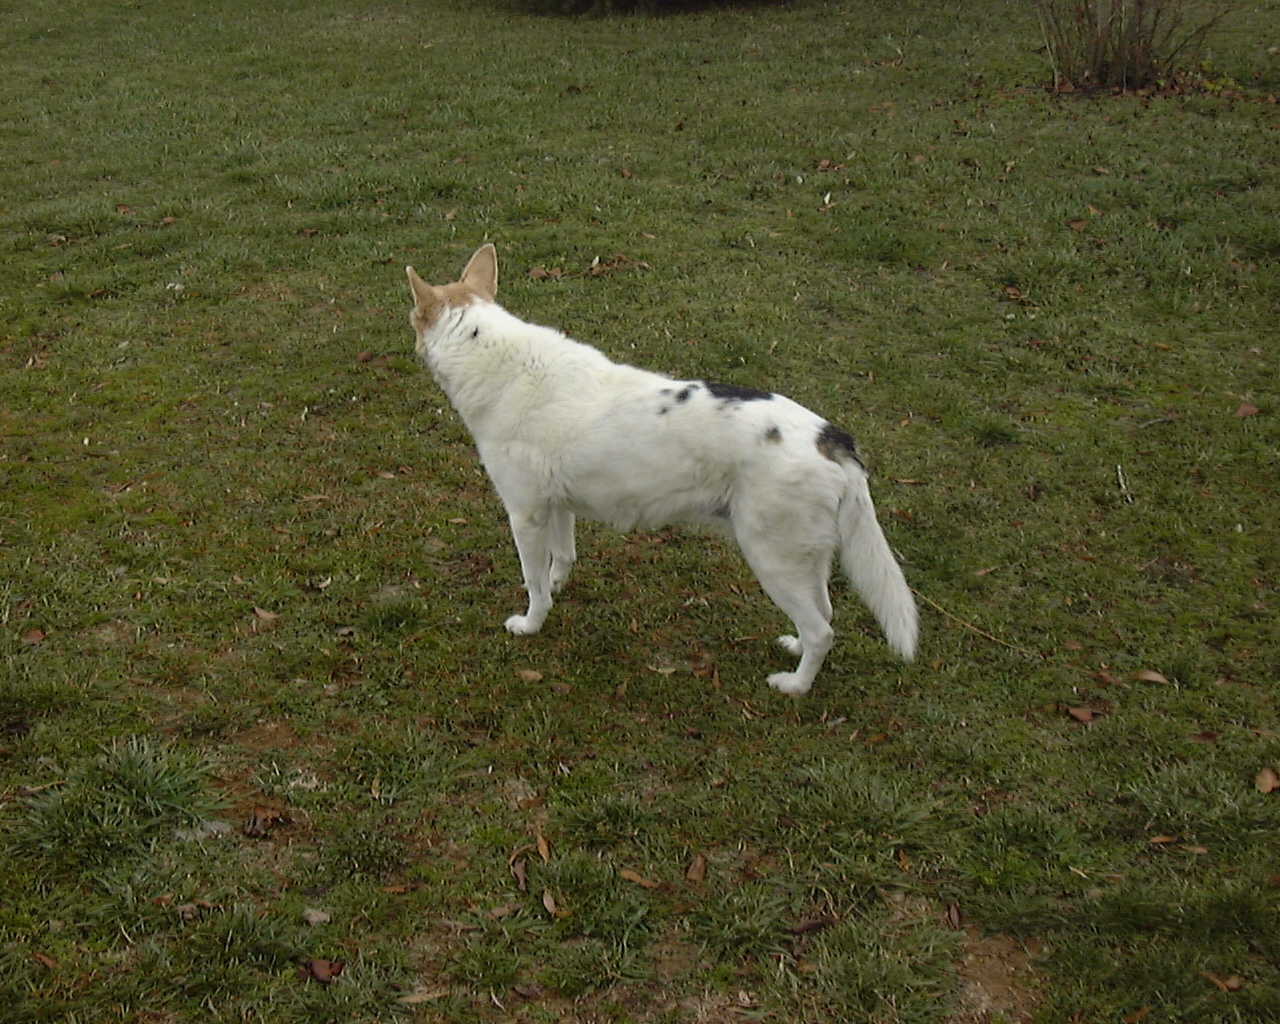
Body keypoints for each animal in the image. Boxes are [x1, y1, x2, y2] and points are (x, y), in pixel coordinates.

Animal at [405, 244, 917, 695]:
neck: (497, 361)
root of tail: (833, 439)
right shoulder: (558, 507)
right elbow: (562, 559)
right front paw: (556, 589)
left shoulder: (525, 514)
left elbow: (533, 582)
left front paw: (531, 624)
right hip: (804, 561)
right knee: (824, 615)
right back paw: (792, 649)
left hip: (772, 560)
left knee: (822, 632)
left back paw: (794, 686)